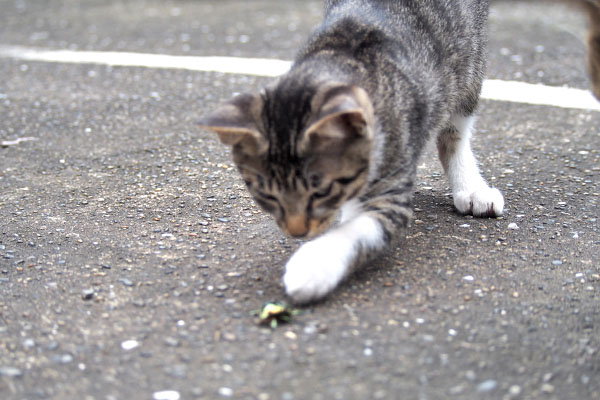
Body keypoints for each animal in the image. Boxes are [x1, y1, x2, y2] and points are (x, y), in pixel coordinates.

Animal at [199, 0, 504, 302]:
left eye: (321, 192)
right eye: (267, 196)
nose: (298, 232)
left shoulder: (392, 183)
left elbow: (359, 229)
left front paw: (313, 265)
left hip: (470, 59)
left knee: (456, 128)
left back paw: (471, 187)